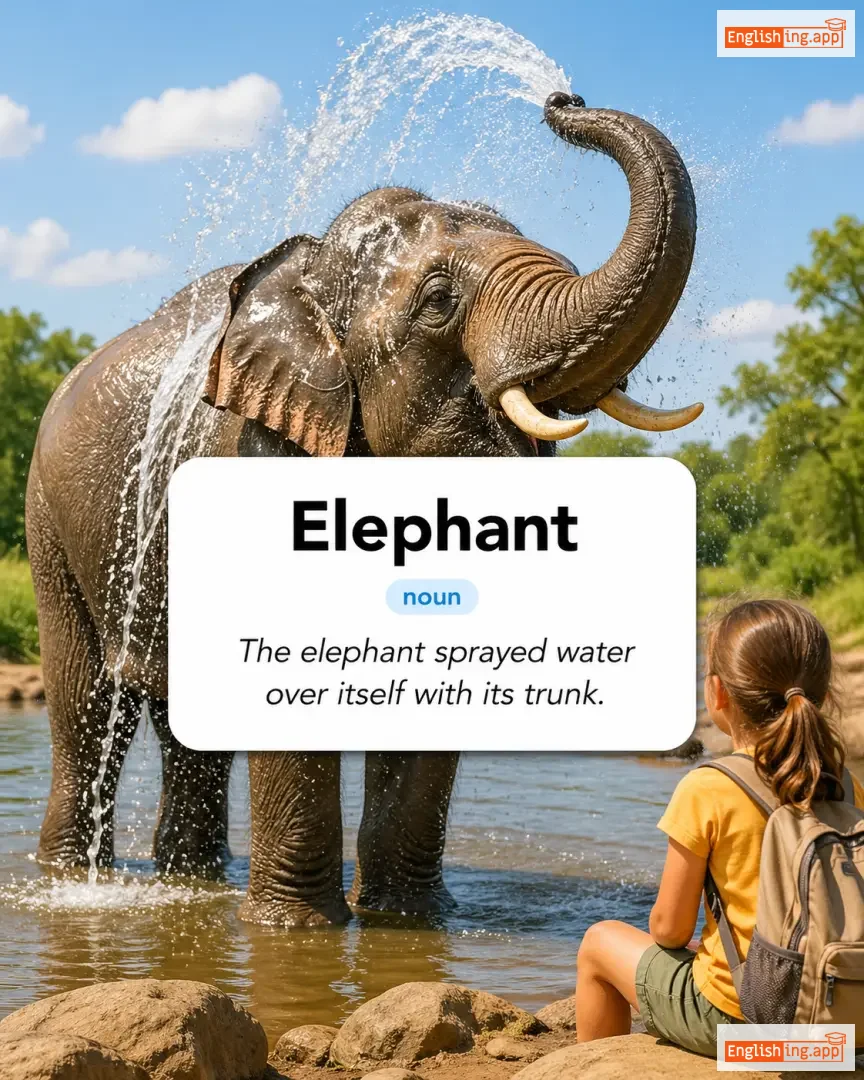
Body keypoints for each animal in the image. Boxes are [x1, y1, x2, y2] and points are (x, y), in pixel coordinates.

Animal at [25, 93, 701, 927]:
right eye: (439, 303)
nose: (562, 100)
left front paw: (408, 922)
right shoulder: (262, 446)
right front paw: (297, 933)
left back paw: (193, 880)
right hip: (48, 517)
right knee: (86, 708)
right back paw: (73, 884)